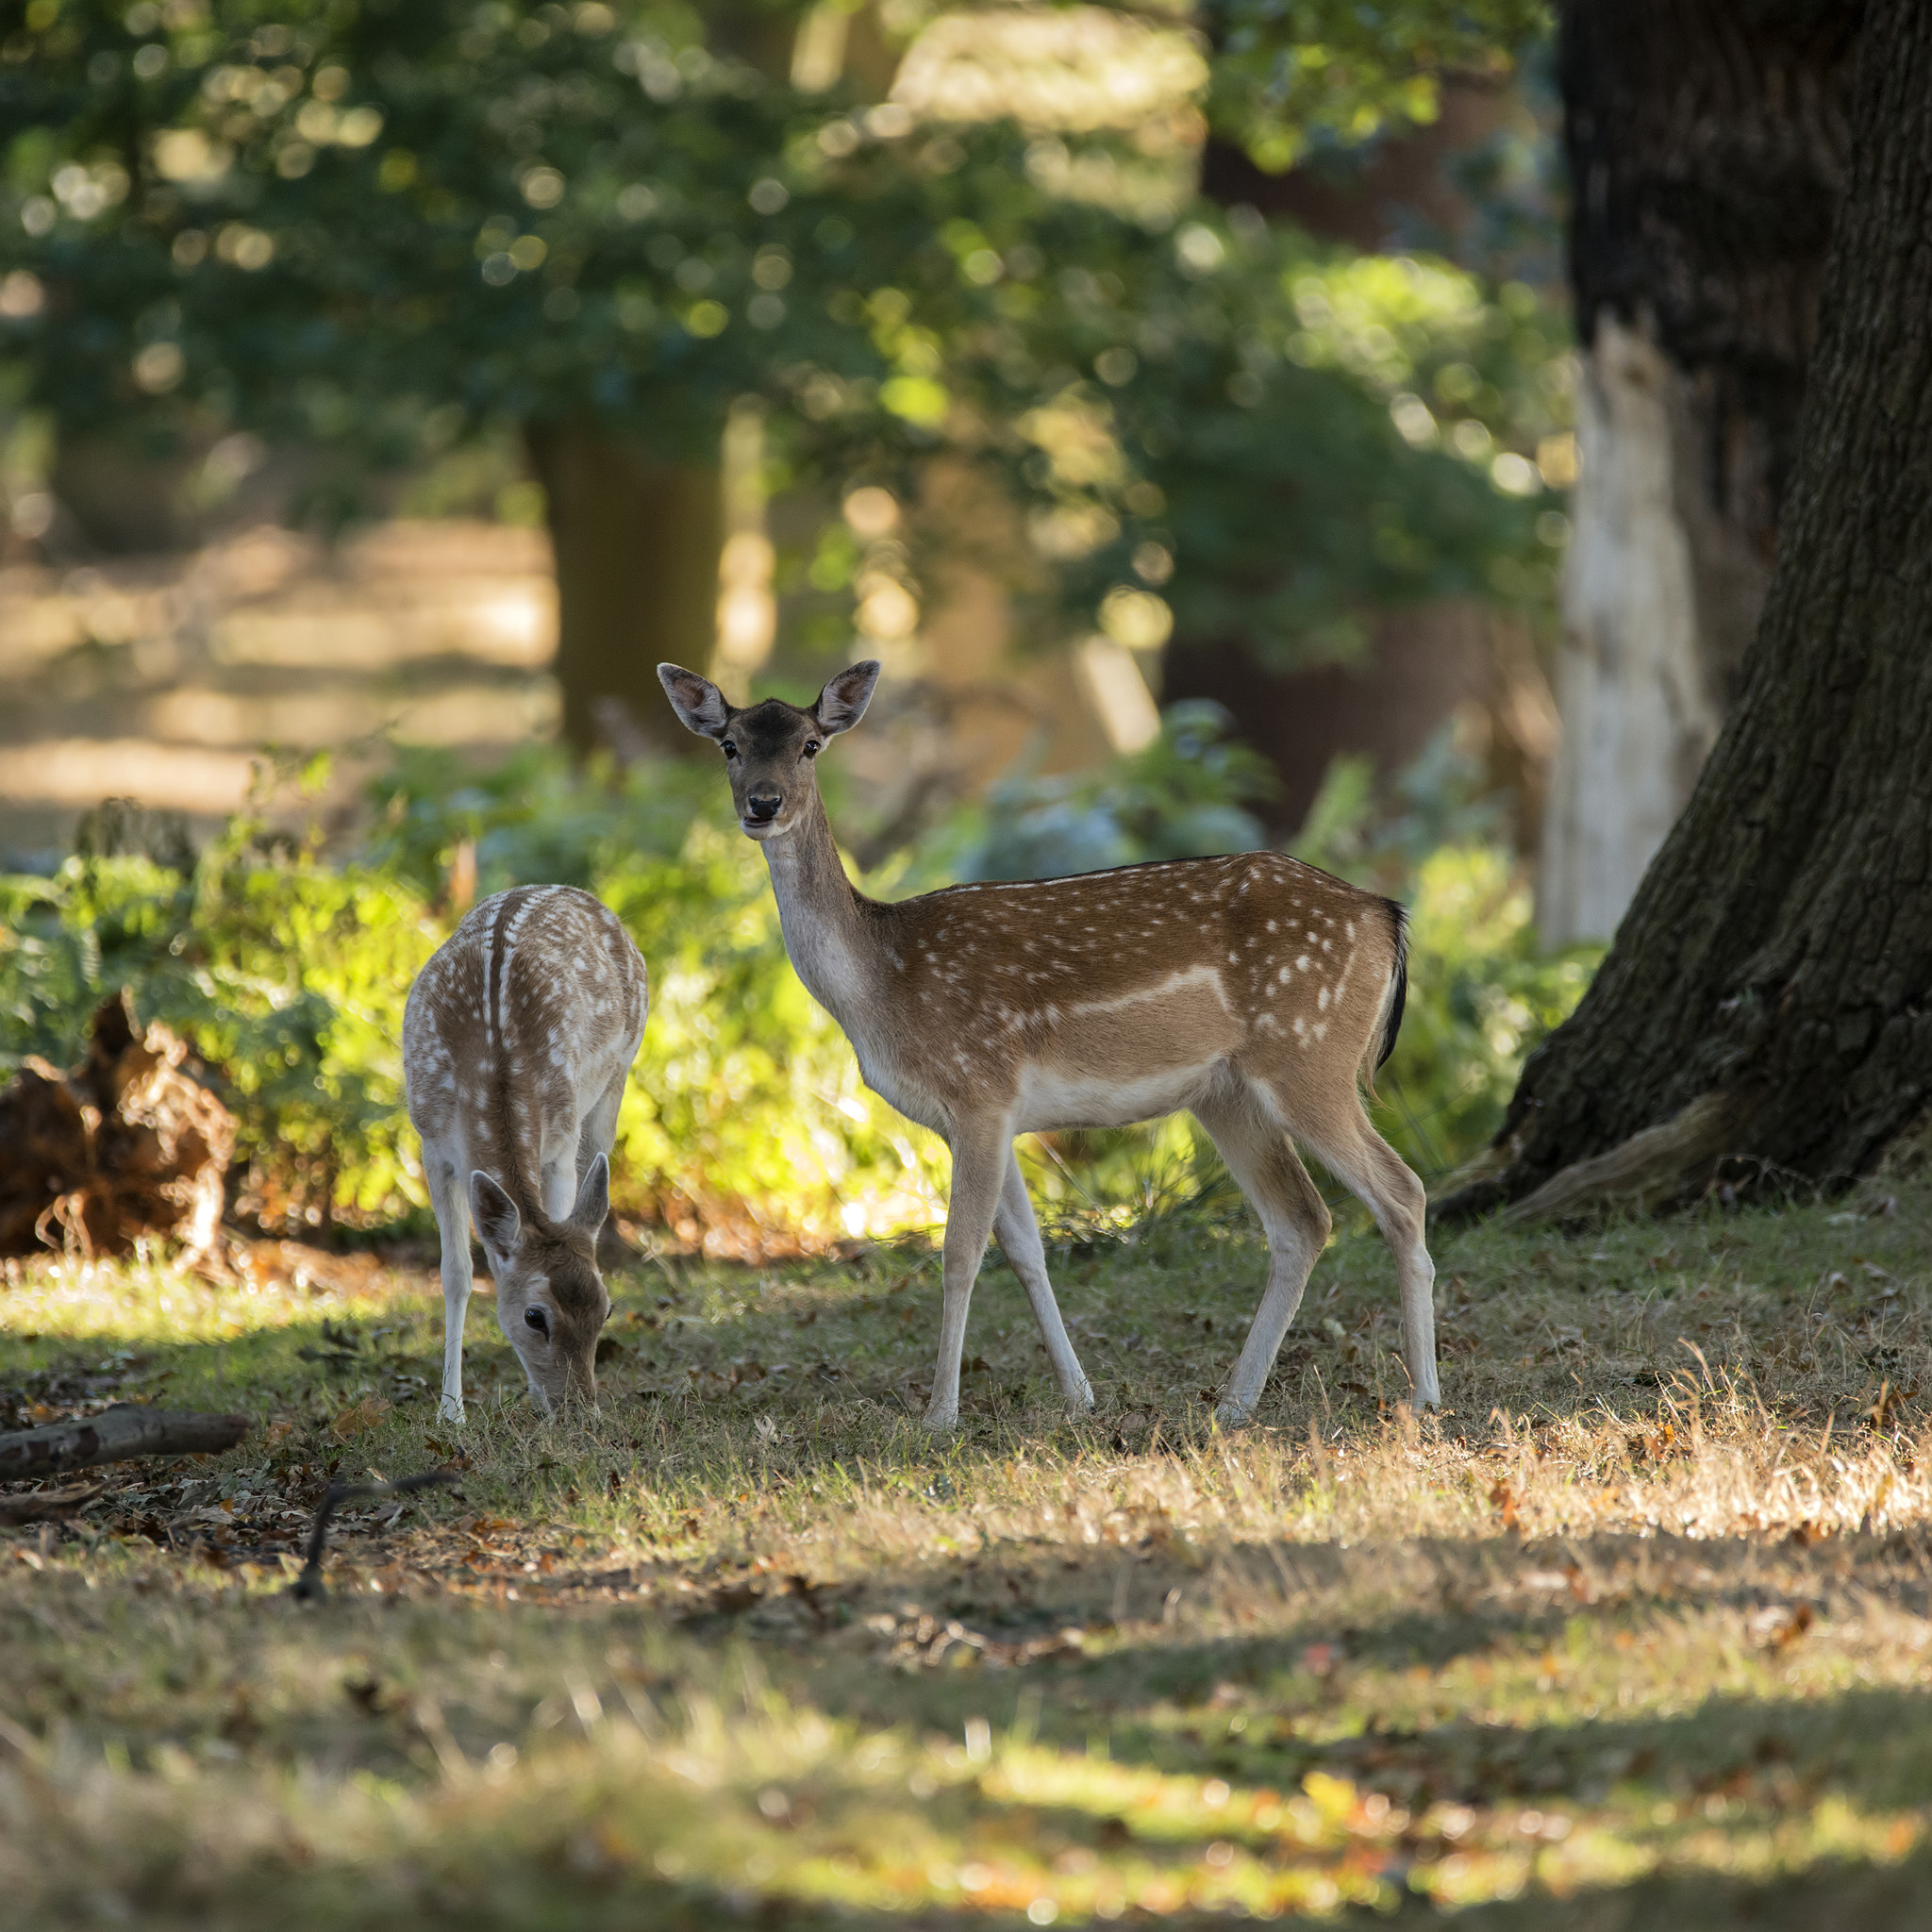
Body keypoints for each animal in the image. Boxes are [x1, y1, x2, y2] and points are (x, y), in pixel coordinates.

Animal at [406, 884, 649, 1422]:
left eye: (606, 1309)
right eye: (534, 1316)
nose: (580, 1410)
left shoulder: (560, 1138)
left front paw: (534, 1398)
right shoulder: (432, 1145)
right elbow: (456, 1274)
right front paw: (451, 1411)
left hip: (617, 1074)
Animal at [664, 657, 1437, 1429]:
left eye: (810, 746)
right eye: (729, 745)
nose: (763, 804)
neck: (881, 987)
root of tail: (1385, 913)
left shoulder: (978, 1088)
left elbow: (959, 1251)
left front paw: (939, 1416)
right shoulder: (986, 1114)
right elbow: (1026, 1249)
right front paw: (1079, 1395)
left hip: (1310, 1055)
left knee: (1401, 1191)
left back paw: (1422, 1395)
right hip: (1228, 1094)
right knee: (1302, 1220)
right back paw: (1233, 1405)